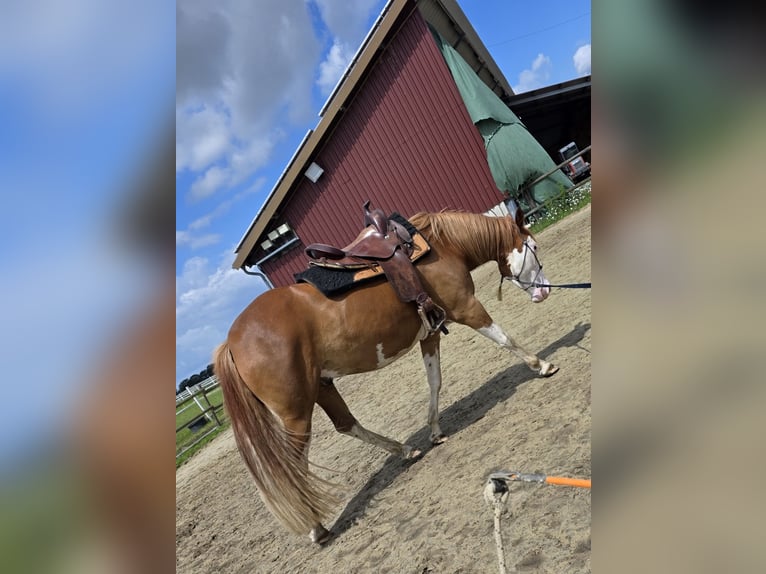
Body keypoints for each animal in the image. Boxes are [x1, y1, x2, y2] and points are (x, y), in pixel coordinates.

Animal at [214, 206, 557, 544]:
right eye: (533, 246)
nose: (544, 291)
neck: (444, 245)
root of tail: (230, 342)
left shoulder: (431, 333)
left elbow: (435, 381)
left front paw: (435, 430)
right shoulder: (467, 309)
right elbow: (504, 339)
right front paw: (541, 365)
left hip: (321, 385)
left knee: (347, 424)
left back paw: (404, 450)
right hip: (297, 412)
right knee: (294, 466)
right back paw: (315, 526)